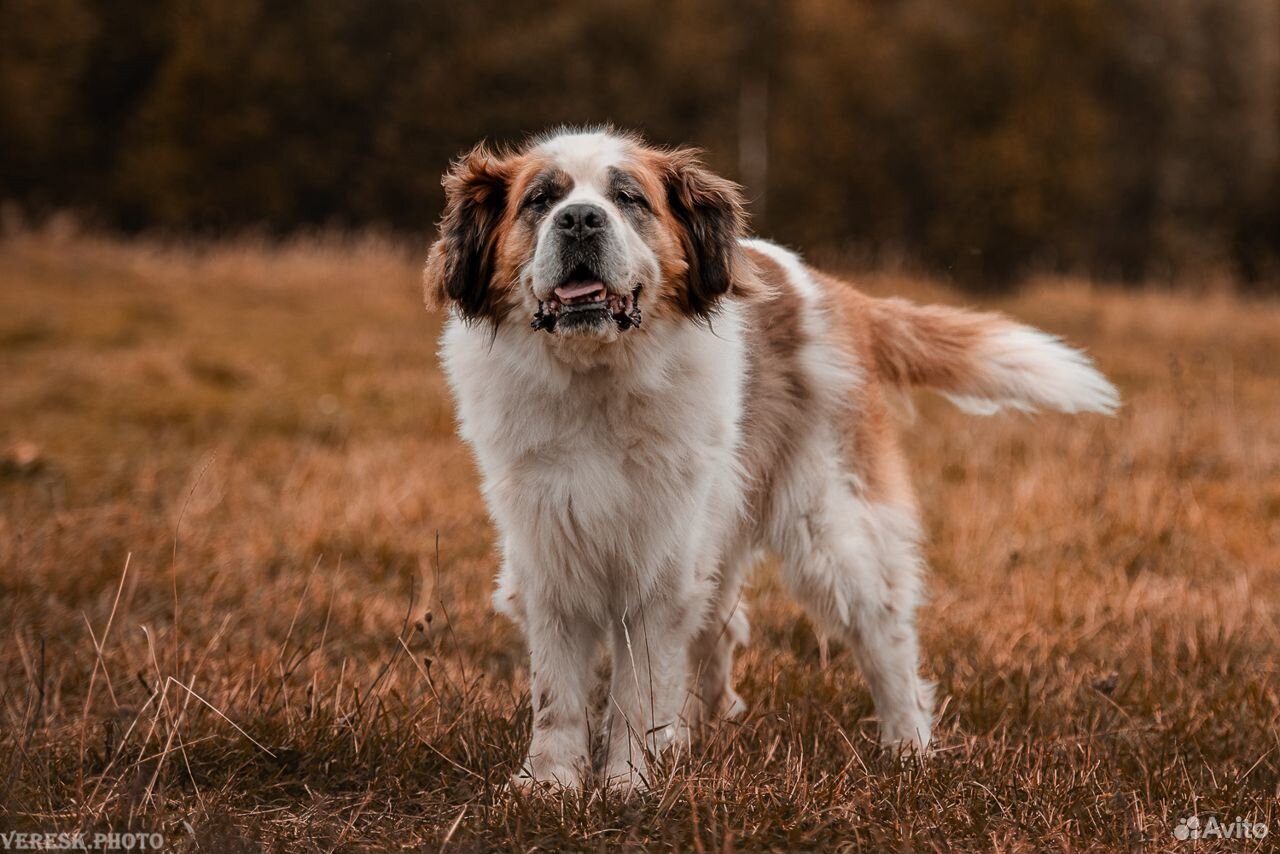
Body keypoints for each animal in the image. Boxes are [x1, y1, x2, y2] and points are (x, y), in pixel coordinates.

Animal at [422, 125, 1121, 788]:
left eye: (628, 199)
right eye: (541, 200)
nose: (580, 220)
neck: (595, 383)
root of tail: (836, 294)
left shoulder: (661, 565)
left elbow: (636, 690)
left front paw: (625, 784)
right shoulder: (549, 553)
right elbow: (558, 694)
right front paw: (553, 784)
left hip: (830, 526)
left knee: (884, 633)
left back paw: (907, 746)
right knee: (719, 631)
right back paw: (691, 736)